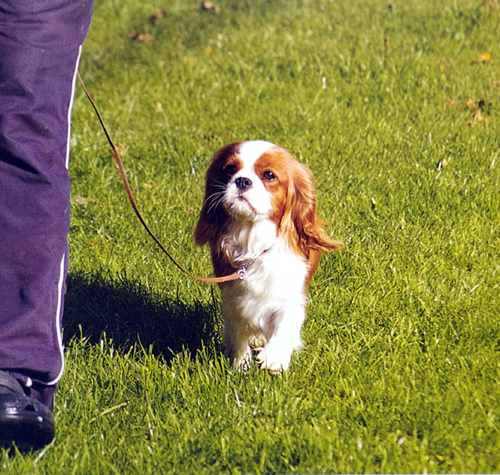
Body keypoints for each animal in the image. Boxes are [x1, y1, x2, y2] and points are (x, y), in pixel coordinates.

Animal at [193, 141, 342, 376]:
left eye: (269, 175)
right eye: (229, 169)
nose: (242, 180)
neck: (253, 239)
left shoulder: (292, 295)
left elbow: (285, 324)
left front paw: (275, 357)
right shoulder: (233, 298)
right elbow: (238, 332)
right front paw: (241, 365)